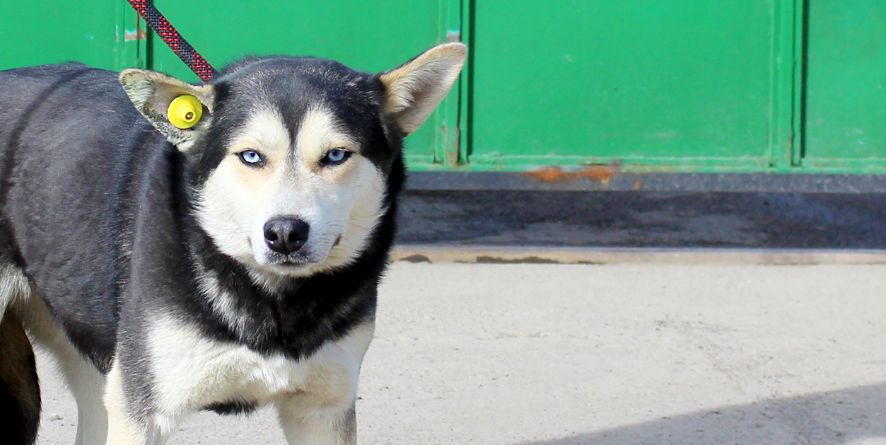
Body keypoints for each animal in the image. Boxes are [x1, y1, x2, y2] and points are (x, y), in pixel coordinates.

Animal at [0, 42, 468, 444]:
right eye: (251, 156)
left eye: (336, 155)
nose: (285, 233)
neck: (275, 301)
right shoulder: (142, 412)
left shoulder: (322, 408)